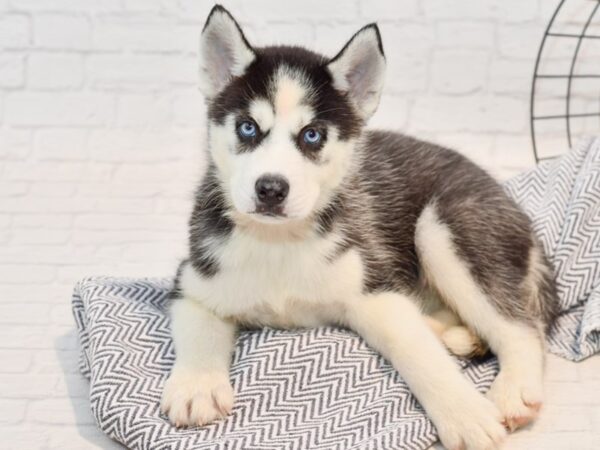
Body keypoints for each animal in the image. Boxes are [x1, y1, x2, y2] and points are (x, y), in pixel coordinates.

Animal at [161, 4, 556, 450]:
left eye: (312, 135)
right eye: (247, 127)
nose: (271, 189)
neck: (278, 242)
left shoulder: (374, 288)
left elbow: (417, 351)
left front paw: (463, 412)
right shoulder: (193, 278)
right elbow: (198, 323)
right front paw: (197, 385)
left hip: (444, 228)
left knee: (521, 327)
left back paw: (513, 388)